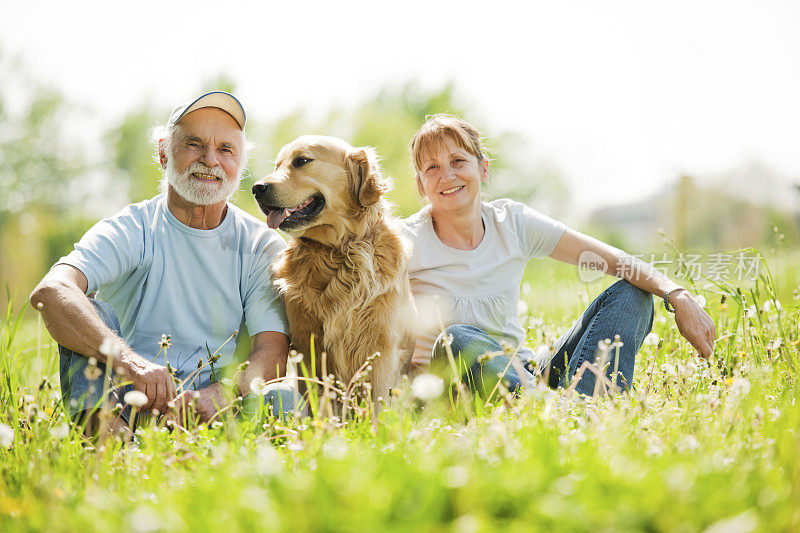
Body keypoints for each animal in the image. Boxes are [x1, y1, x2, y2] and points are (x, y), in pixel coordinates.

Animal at [250, 136, 412, 404]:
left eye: (301, 161)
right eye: (277, 165)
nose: (256, 188)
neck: (337, 251)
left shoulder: (383, 348)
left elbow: (380, 403)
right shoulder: (308, 347)